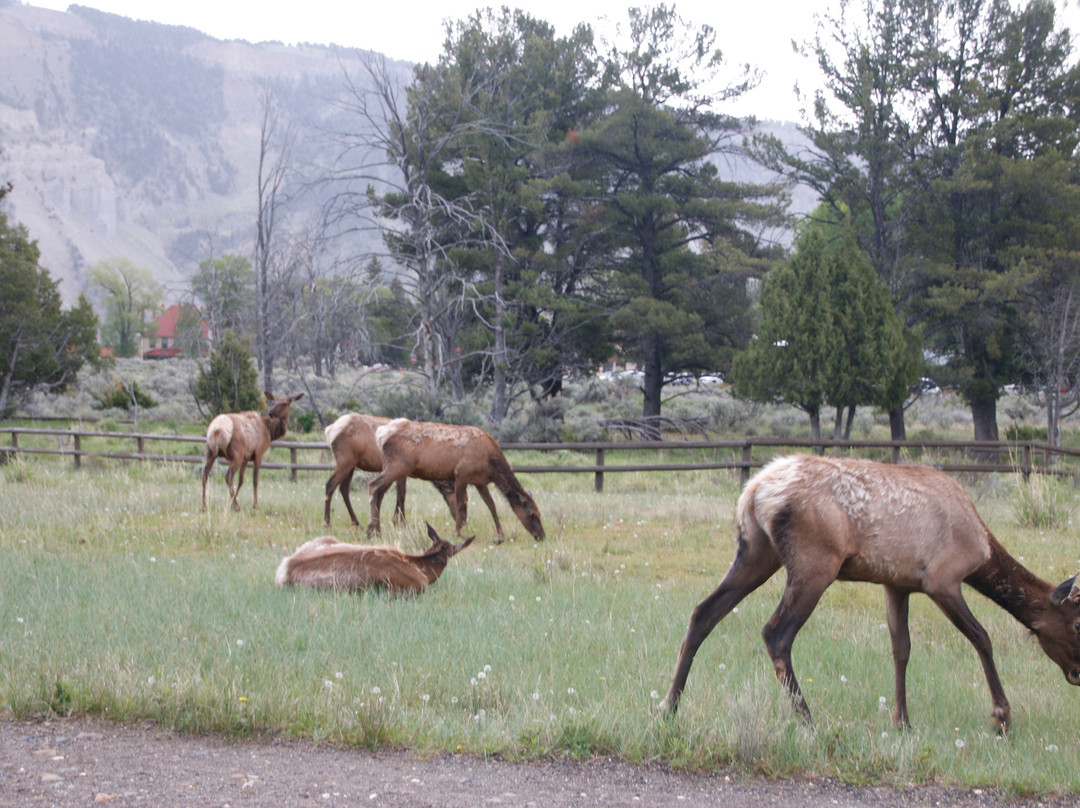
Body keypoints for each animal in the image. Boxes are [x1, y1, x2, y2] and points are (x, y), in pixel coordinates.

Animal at [319, 412, 455, 527]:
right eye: (452, 489)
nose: (455, 516)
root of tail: (329, 430)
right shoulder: (401, 470)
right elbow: (401, 495)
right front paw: (401, 523)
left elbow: (394, 494)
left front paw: (394, 521)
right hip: (345, 461)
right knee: (330, 485)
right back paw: (327, 522)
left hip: (352, 465)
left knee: (343, 489)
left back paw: (355, 521)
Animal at [367, 416, 544, 542]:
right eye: (532, 514)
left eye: (539, 513)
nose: (542, 536)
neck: (491, 464)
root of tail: (380, 434)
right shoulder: (461, 474)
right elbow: (460, 504)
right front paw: (458, 533)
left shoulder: (480, 481)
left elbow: (491, 505)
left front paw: (501, 533)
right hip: (398, 465)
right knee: (373, 485)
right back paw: (372, 530)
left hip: (392, 466)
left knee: (380, 492)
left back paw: (376, 530)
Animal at [656, 453, 1080, 730]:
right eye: (1076, 624)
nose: (1077, 674)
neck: (983, 550)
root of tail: (754, 490)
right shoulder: (942, 579)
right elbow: (982, 638)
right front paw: (1002, 716)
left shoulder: (898, 583)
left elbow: (901, 648)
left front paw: (902, 720)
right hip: (814, 563)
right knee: (775, 632)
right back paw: (808, 719)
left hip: (756, 553)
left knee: (703, 613)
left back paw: (669, 705)